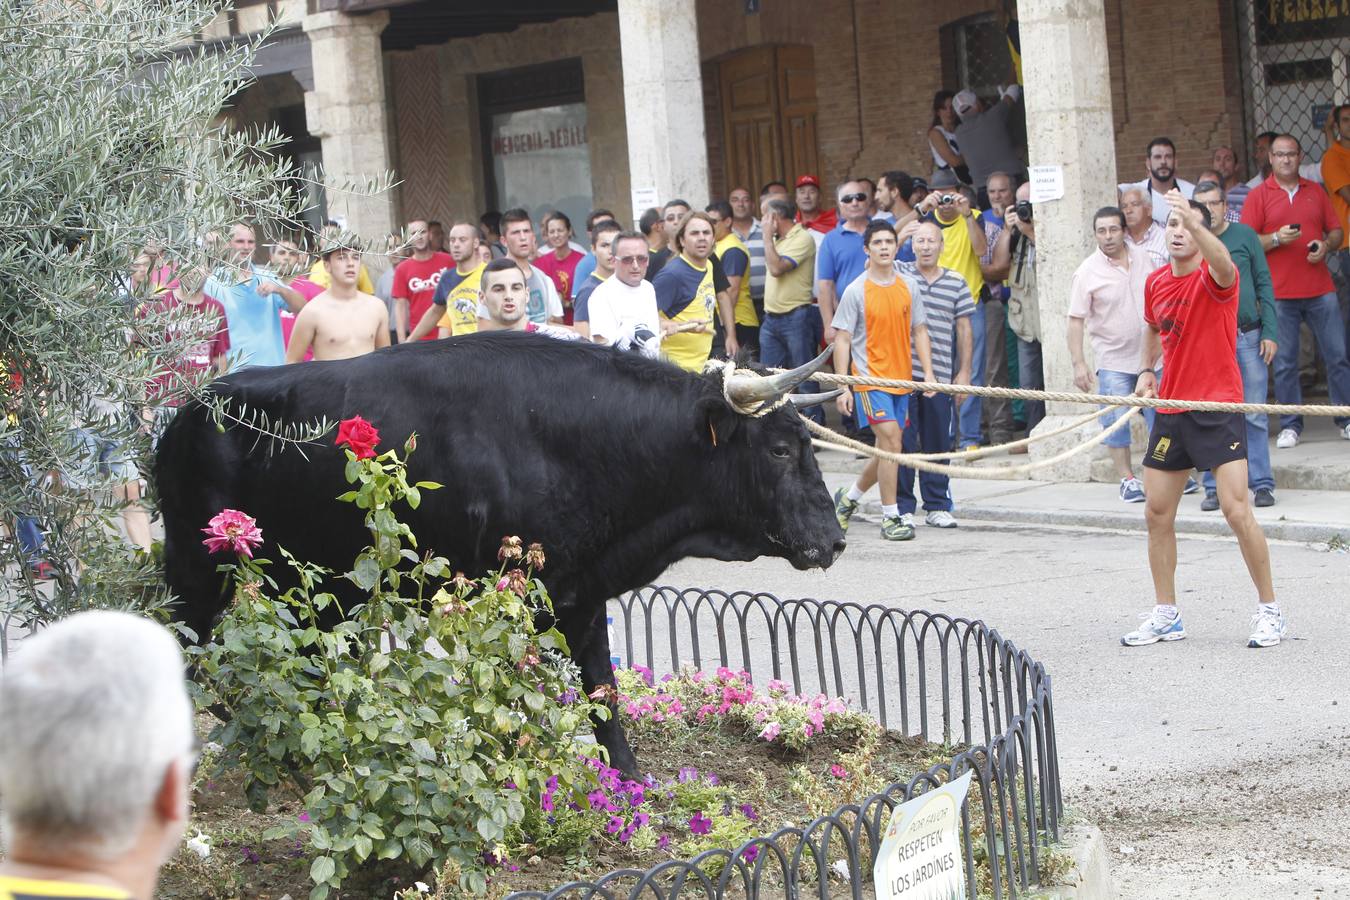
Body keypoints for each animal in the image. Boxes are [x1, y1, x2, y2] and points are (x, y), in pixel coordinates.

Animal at [155, 333, 842, 777]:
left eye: (808, 444)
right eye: (780, 449)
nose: (834, 540)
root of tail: (188, 412)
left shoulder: (581, 596)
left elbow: (603, 691)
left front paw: (628, 778)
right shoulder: (514, 595)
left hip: (316, 588)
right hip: (197, 570)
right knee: (190, 655)